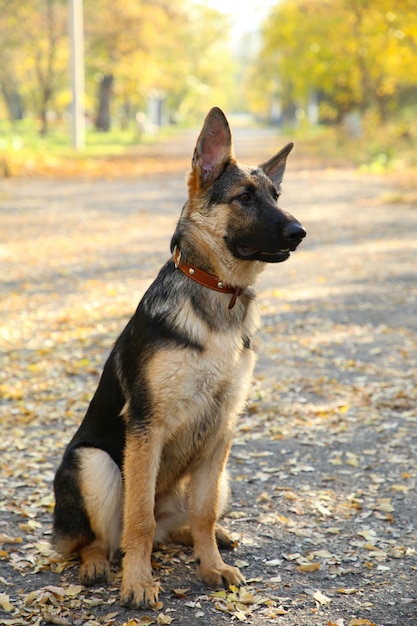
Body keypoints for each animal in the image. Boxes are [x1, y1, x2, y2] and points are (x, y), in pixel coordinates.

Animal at [52, 106, 306, 604]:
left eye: (276, 195)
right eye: (244, 197)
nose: (300, 232)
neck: (217, 294)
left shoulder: (222, 429)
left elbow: (203, 513)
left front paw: (212, 566)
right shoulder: (147, 428)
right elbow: (139, 520)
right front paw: (138, 581)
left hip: (220, 475)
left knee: (180, 525)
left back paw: (208, 538)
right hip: (94, 463)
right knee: (100, 538)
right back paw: (97, 565)